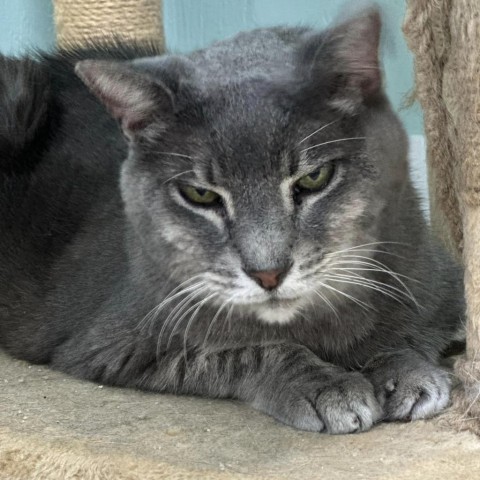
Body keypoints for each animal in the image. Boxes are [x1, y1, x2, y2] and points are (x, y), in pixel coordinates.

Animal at [0, 9, 464, 434]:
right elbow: (249, 350)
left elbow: (412, 330)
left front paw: (406, 371)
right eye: (201, 195)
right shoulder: (117, 344)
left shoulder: (443, 286)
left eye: (314, 177)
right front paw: (326, 386)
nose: (268, 272)